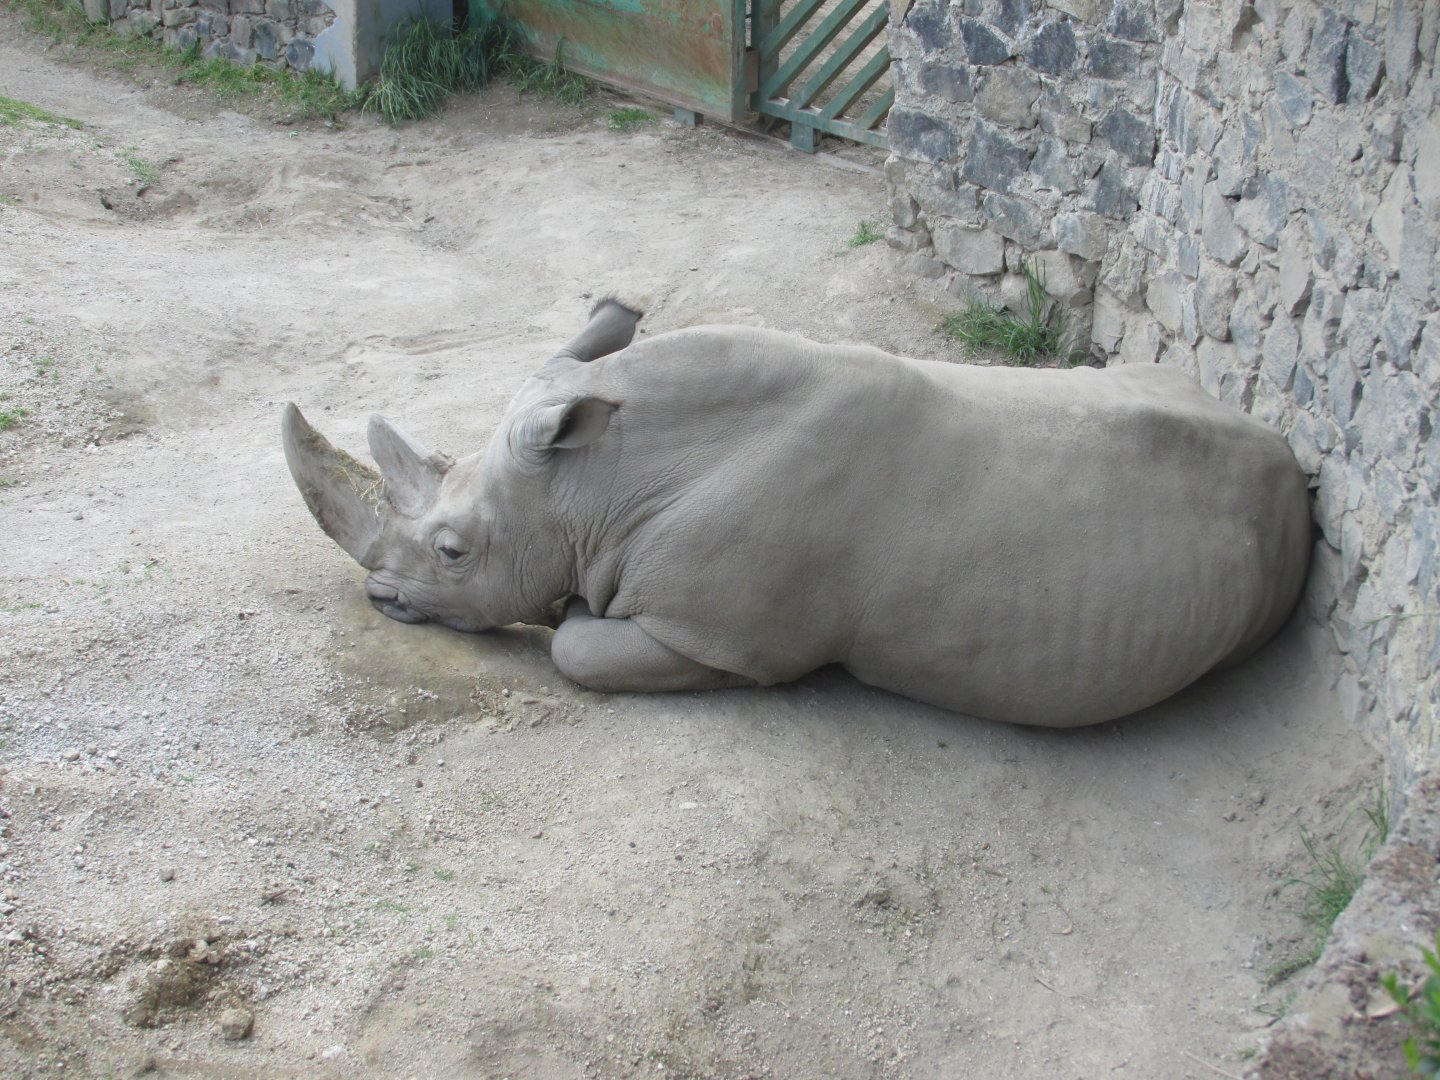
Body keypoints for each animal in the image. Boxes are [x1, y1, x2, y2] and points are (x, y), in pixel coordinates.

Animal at [282, 298, 1311, 728]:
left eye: (452, 552)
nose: (380, 596)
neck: (595, 482)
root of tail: (1294, 466)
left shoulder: (719, 635)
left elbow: (577, 648)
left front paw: (568, 610)